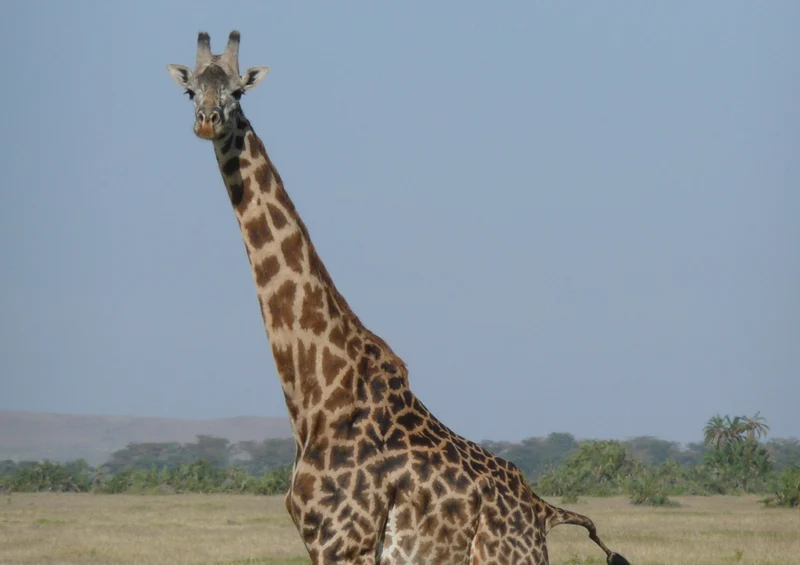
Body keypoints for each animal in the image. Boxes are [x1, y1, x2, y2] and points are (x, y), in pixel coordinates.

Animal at [166, 31, 631, 565]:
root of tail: (543, 511)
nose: (207, 120)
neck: (315, 393)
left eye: (238, 92)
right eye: (191, 91)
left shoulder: (345, 542)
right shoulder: (322, 542)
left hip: (505, 558)